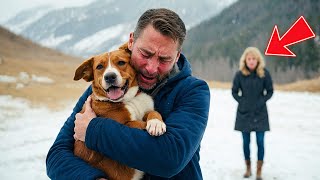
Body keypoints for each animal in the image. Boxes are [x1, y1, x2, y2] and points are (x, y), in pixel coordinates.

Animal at [73, 43, 166, 180]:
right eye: (99, 67)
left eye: (121, 62)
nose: (109, 77)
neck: (128, 99)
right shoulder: (124, 125)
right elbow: (137, 123)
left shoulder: (146, 110)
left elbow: (153, 113)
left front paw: (156, 123)